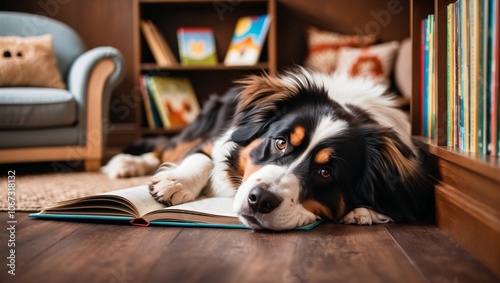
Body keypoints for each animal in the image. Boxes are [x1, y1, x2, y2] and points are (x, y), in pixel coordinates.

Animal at [103, 68, 436, 231]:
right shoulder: (218, 138)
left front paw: (364, 211)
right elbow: (202, 158)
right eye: (280, 142)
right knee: (165, 148)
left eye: (326, 172)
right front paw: (175, 184)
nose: (259, 200)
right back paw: (126, 164)